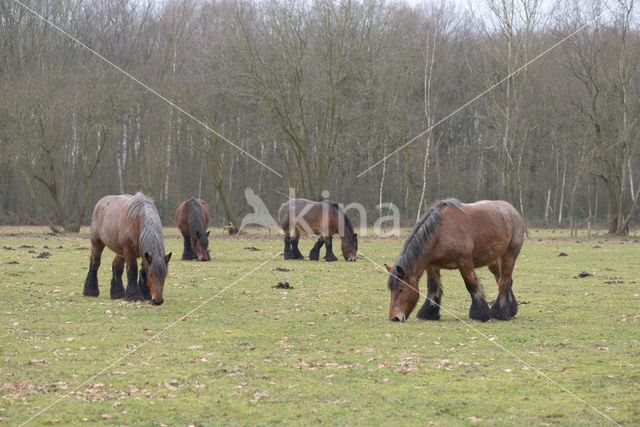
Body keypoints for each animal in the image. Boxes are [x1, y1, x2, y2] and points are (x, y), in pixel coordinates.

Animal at [384, 199, 524, 322]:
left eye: (401, 288)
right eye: (391, 289)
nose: (394, 318)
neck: (440, 232)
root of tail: (512, 211)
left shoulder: (464, 262)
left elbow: (472, 285)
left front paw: (478, 315)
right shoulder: (432, 266)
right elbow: (433, 287)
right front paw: (429, 313)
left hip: (509, 256)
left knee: (504, 282)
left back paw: (500, 312)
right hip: (493, 262)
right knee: (504, 280)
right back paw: (510, 310)